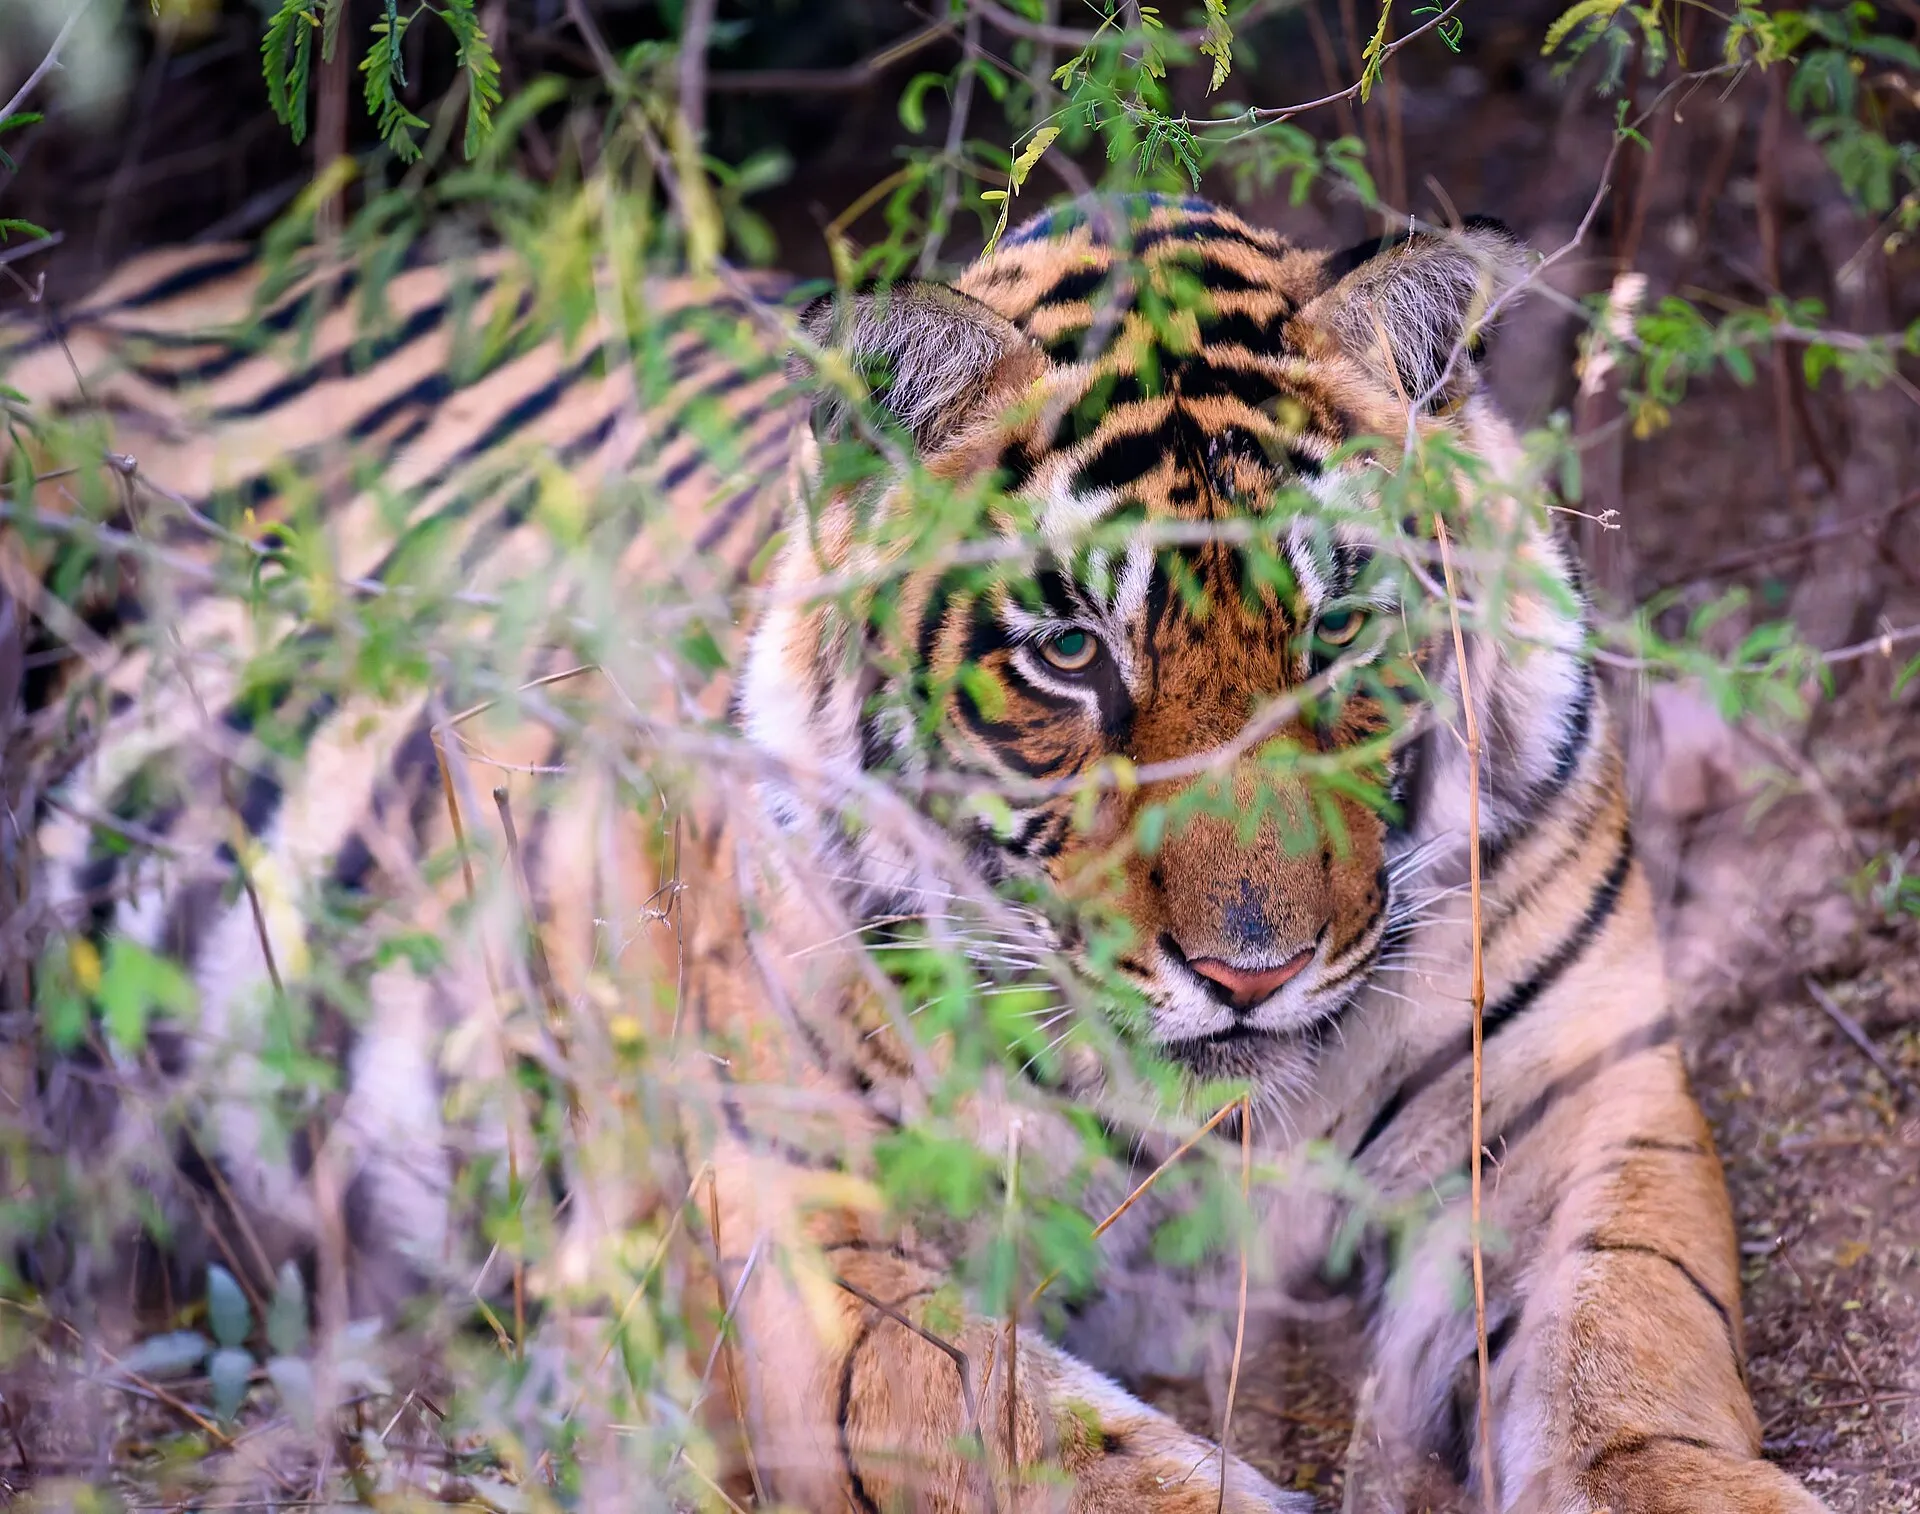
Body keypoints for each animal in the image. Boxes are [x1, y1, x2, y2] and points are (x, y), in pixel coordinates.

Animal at [0, 194, 1827, 1514]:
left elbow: (1637, 1347)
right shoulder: (793, 1222)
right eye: (1072, 651)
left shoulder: (1586, 1093)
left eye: (1339, 628)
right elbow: (1059, 1444)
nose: (1251, 970)